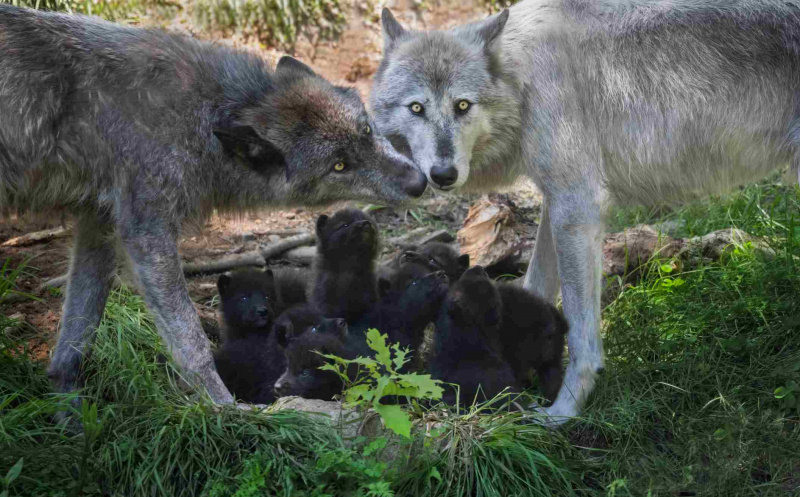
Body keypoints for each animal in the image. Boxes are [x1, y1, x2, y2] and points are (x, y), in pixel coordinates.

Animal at [0, 4, 427, 411]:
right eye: (339, 165)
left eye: (367, 131)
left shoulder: (97, 226)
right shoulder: (146, 233)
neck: (204, 116)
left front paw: (71, 420)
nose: (419, 181)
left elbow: (72, 347)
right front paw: (225, 409)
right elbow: (192, 343)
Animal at [372, 0, 800, 425]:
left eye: (462, 105)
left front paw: (562, 412)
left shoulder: (577, 206)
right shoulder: (557, 201)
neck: (523, 80)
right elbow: (535, 283)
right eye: (416, 108)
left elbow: (581, 335)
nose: (443, 174)